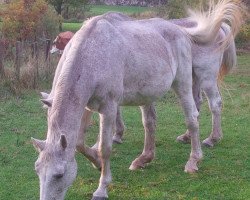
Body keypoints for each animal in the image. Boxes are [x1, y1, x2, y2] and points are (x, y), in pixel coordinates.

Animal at [31, 0, 244, 199]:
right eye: (37, 170)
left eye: (59, 174)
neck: (93, 54)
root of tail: (182, 31)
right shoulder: (86, 106)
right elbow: (80, 143)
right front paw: (97, 162)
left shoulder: (108, 108)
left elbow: (105, 147)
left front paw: (102, 186)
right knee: (153, 122)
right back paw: (145, 158)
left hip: (192, 80)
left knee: (197, 114)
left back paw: (197, 156)